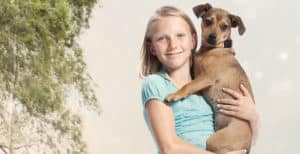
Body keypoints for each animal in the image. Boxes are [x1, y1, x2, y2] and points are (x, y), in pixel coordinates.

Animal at [165, 3, 254, 153]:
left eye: (224, 26)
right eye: (208, 21)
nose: (212, 36)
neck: (210, 50)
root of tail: (248, 146)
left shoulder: (206, 77)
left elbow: (188, 85)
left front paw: (175, 95)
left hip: (215, 141)